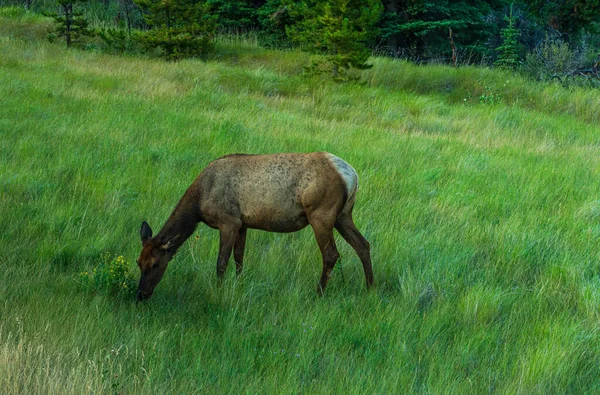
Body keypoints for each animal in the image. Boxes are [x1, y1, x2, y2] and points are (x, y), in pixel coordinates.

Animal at [138, 153, 372, 302]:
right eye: (139, 262)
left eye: (155, 264)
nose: (141, 294)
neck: (199, 203)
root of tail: (353, 176)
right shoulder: (243, 223)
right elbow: (239, 258)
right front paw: (239, 284)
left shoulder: (228, 220)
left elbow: (221, 262)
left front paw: (218, 291)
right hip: (343, 214)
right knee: (363, 245)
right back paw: (370, 287)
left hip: (321, 213)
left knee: (331, 254)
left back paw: (319, 293)